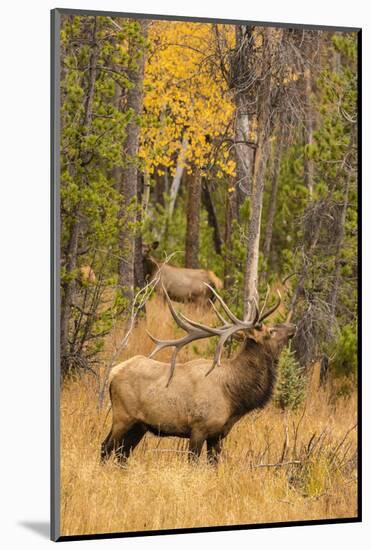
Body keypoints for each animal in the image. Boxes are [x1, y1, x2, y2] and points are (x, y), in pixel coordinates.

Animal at [101, 286, 296, 468]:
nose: (293, 326)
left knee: (122, 454)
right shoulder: (198, 428)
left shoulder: (218, 434)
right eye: (272, 331)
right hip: (122, 416)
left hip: (139, 425)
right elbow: (193, 462)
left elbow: (214, 465)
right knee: (106, 447)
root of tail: (112, 373)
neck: (233, 396)